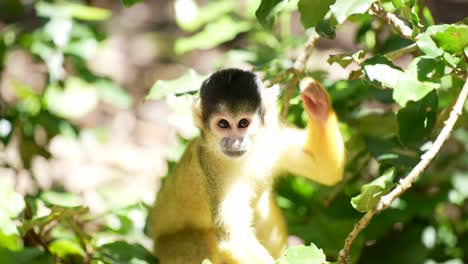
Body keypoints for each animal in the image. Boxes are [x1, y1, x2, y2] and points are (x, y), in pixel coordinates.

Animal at [150, 68, 344, 264]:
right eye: (223, 124)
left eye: (243, 123)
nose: (235, 142)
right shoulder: (210, 166)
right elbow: (232, 239)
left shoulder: (273, 137)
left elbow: (325, 171)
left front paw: (318, 104)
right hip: (171, 247)